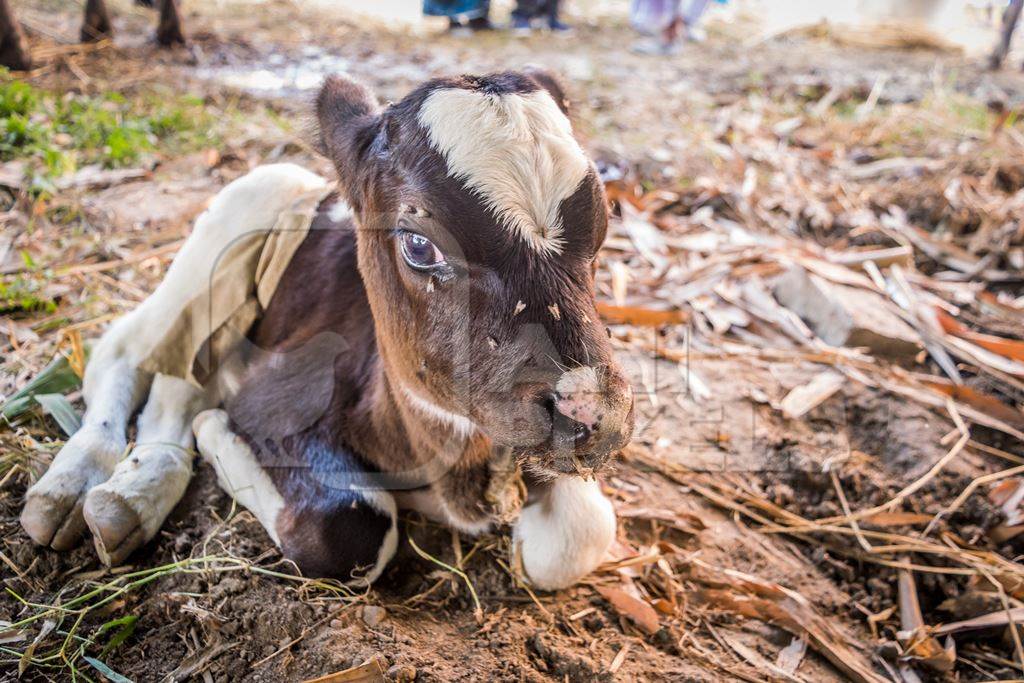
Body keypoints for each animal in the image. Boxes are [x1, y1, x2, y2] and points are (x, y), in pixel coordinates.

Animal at [18, 72, 630, 589]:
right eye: (418, 244)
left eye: (602, 227)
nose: (593, 416)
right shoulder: (280, 398)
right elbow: (348, 529)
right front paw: (217, 432)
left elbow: (579, 534)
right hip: (225, 234)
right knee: (133, 353)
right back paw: (88, 487)